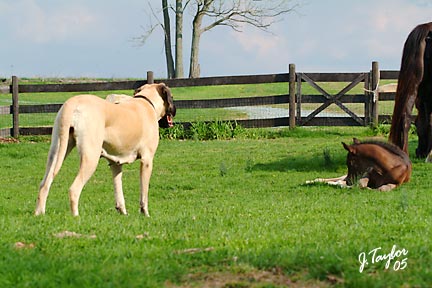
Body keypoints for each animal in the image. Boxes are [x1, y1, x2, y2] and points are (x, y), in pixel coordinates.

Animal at [34, 83, 176, 216]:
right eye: (172, 97)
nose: (175, 110)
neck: (147, 102)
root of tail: (73, 102)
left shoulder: (115, 163)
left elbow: (118, 190)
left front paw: (123, 212)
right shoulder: (147, 161)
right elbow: (144, 193)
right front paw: (145, 214)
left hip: (57, 151)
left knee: (44, 184)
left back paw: (39, 214)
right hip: (90, 157)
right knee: (74, 189)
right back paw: (76, 217)